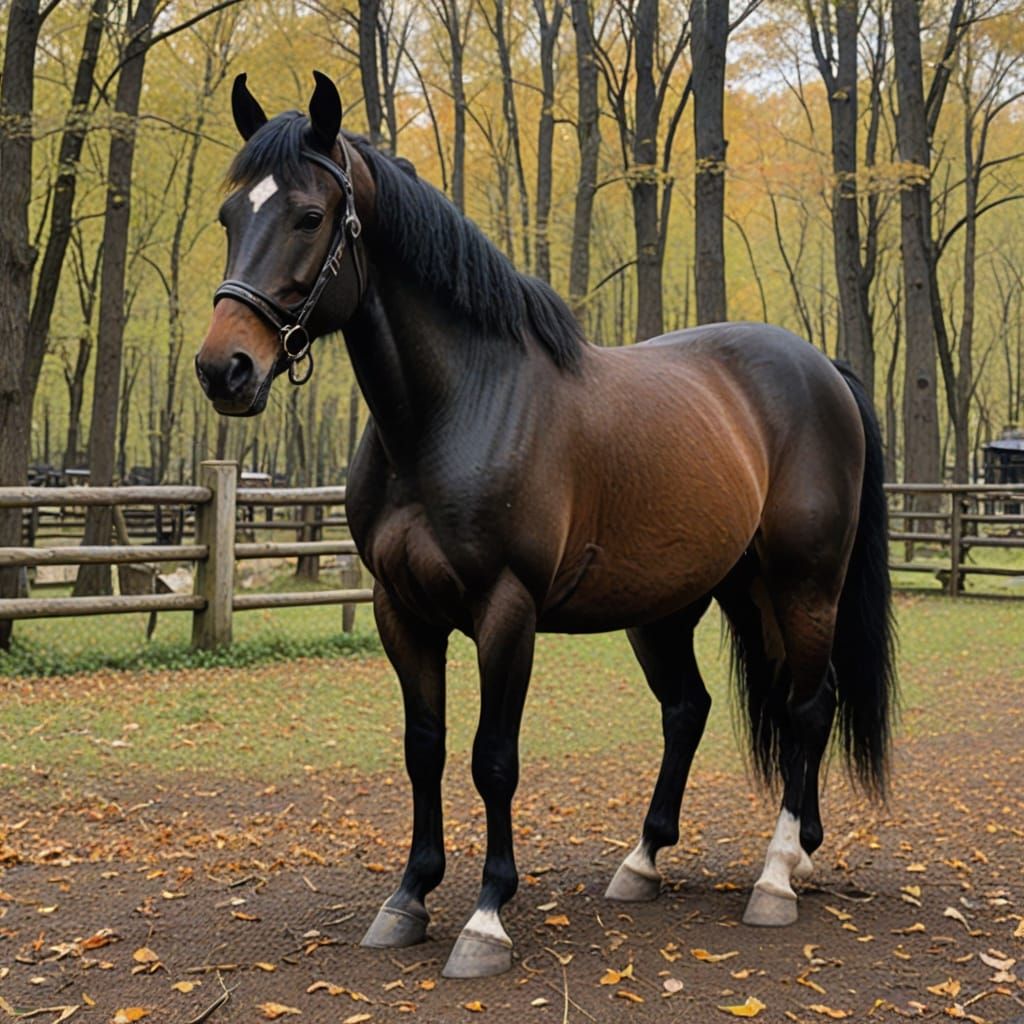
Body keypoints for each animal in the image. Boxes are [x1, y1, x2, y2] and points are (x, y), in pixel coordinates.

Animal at [196, 72, 896, 980]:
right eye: (230, 216)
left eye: (310, 216)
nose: (225, 369)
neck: (454, 409)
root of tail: (824, 372)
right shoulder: (400, 610)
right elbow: (425, 746)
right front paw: (409, 897)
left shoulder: (507, 610)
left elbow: (493, 758)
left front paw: (487, 917)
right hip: (698, 600)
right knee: (698, 709)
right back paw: (660, 859)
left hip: (805, 585)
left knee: (809, 708)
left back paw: (776, 875)